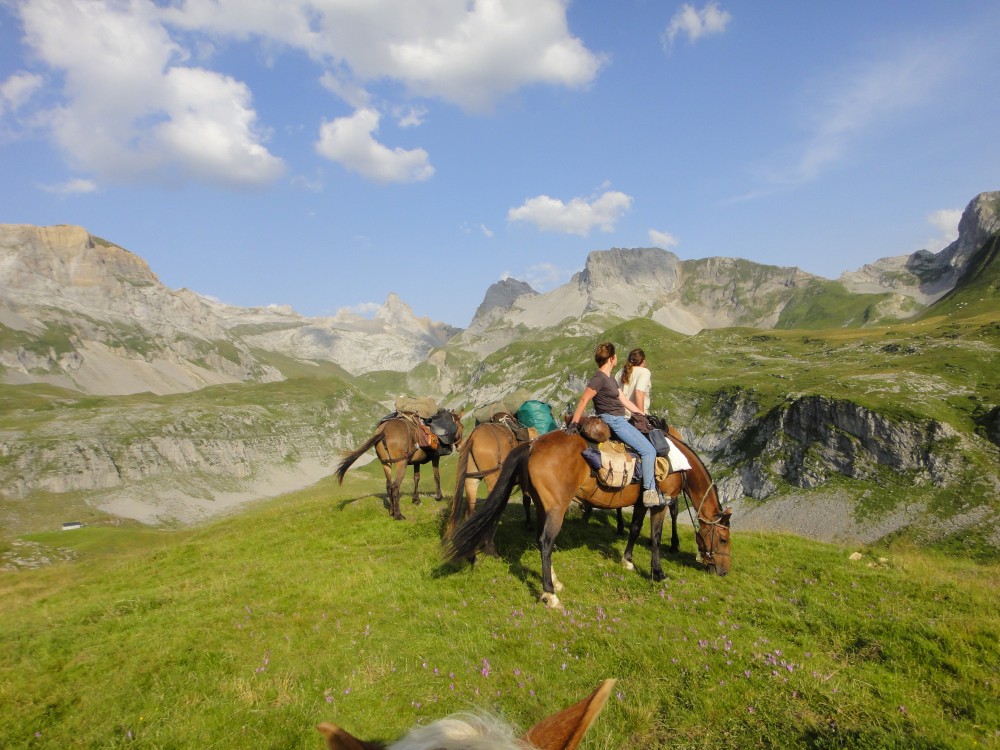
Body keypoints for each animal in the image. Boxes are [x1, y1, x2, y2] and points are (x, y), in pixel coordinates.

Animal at [450, 428, 732, 612]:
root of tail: (531, 446)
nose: (724, 571)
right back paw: (550, 593)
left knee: (541, 540)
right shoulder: (661, 503)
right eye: (724, 539)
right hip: (556, 508)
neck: (677, 464)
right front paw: (658, 573)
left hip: (543, 506)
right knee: (545, 542)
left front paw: (627, 561)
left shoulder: (642, 502)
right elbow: (655, 536)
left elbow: (634, 529)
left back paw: (554, 582)